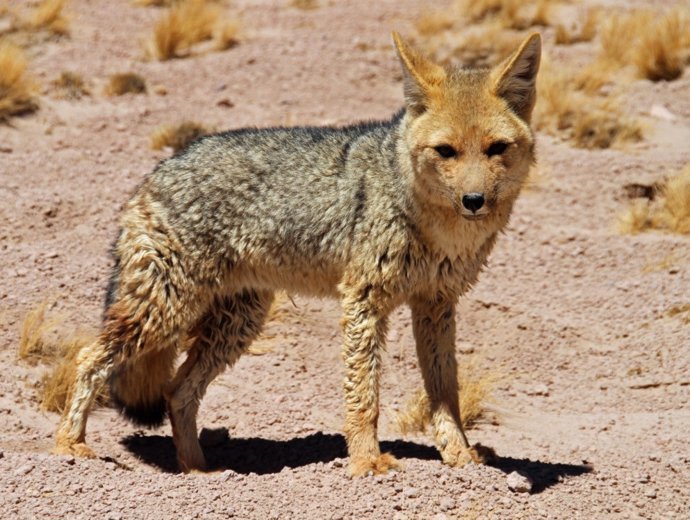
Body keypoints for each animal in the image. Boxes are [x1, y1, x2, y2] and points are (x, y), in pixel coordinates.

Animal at [53, 32, 536, 478]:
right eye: (445, 151)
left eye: (496, 148)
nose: (474, 200)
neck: (439, 230)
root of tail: (154, 175)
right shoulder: (362, 299)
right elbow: (364, 394)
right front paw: (367, 462)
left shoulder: (436, 303)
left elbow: (445, 392)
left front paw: (460, 456)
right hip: (167, 310)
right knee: (89, 358)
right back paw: (69, 445)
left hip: (235, 325)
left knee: (178, 391)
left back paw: (199, 471)